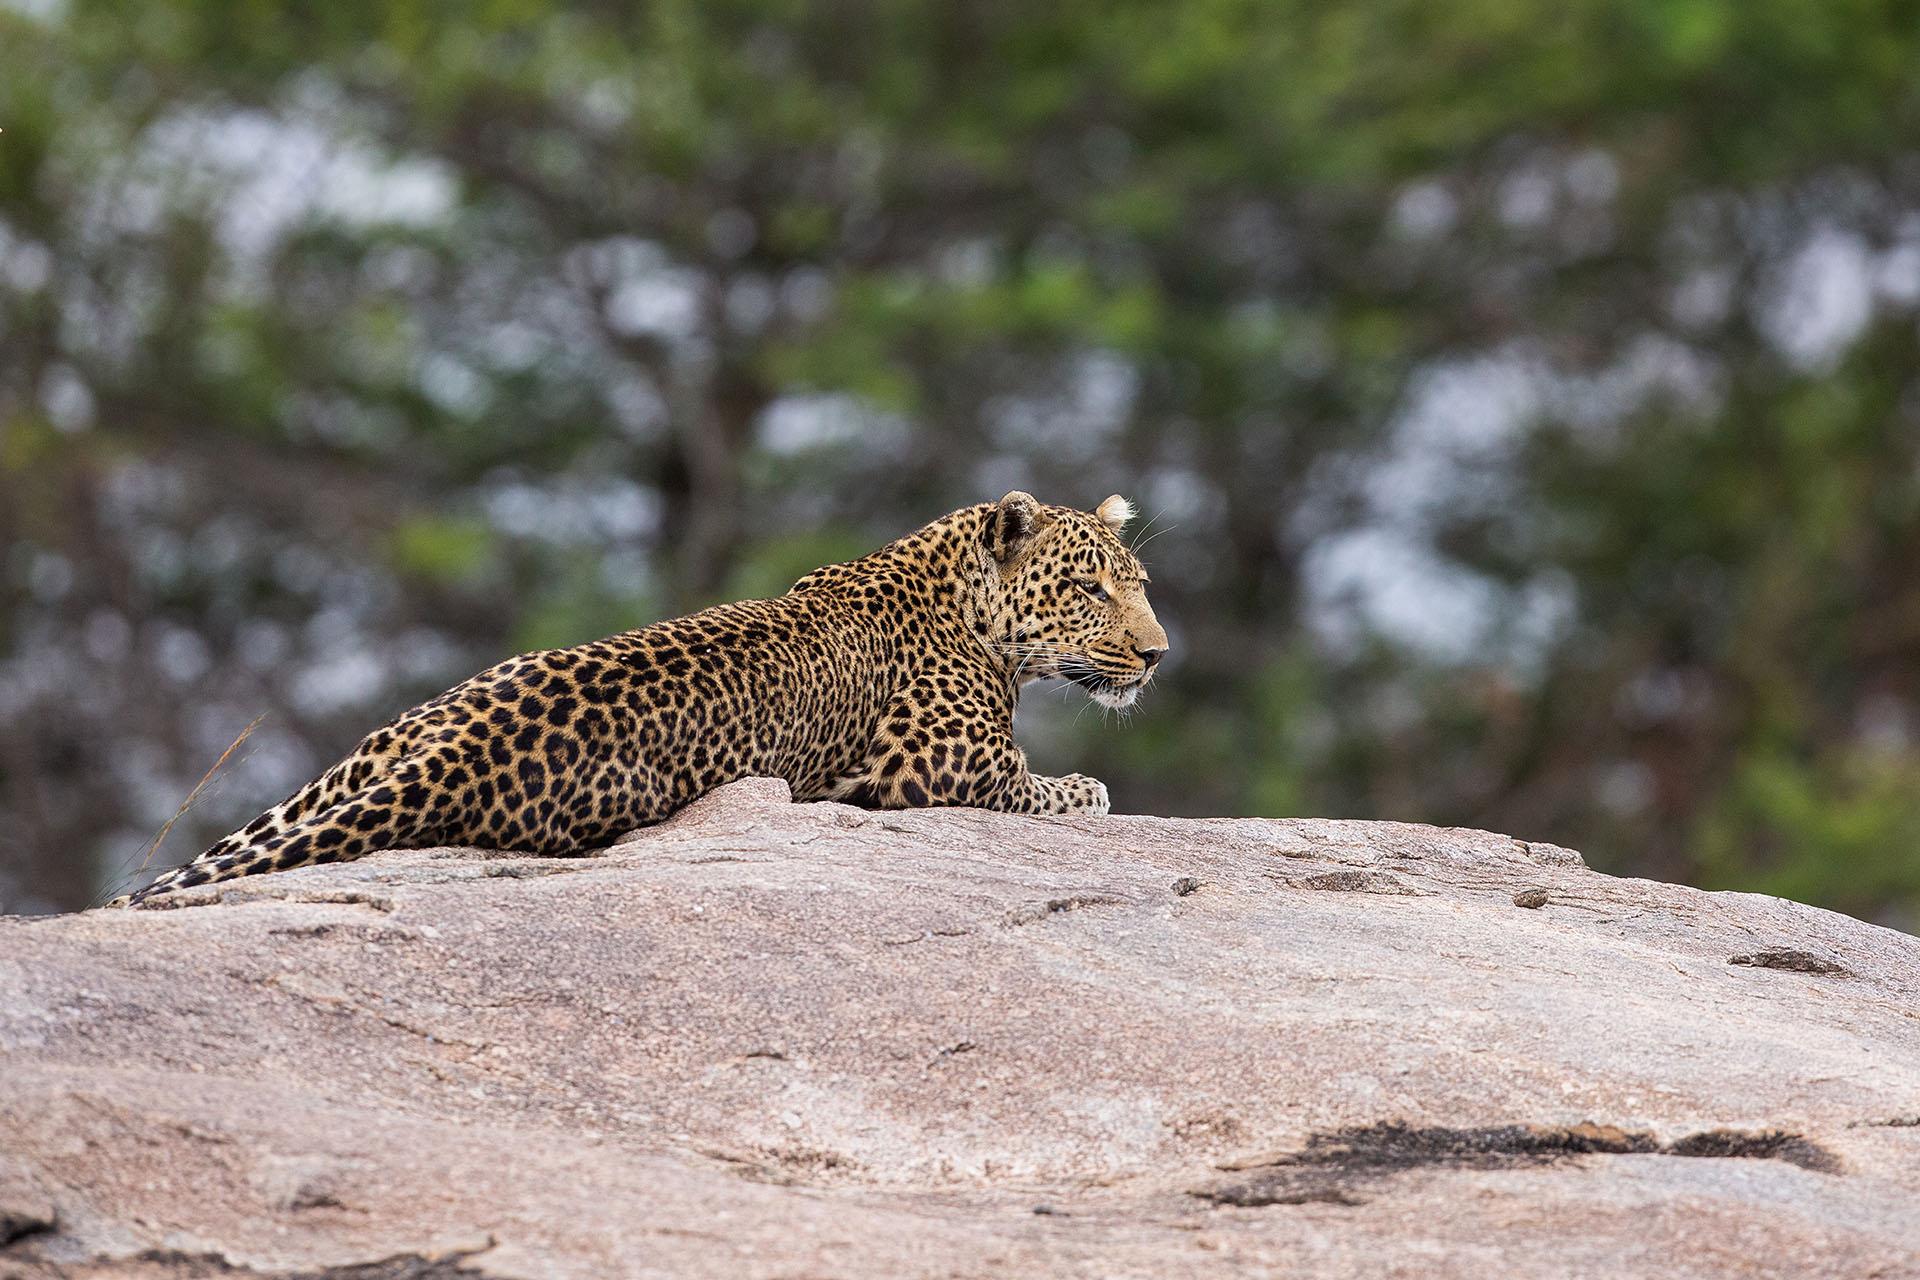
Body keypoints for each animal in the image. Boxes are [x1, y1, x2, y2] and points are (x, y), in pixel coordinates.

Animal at [123, 491, 1167, 901]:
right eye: (1088, 588)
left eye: (1140, 582)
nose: (1158, 656)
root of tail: (455, 742)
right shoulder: (939, 766)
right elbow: (1057, 786)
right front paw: (1091, 789)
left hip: (342, 769)